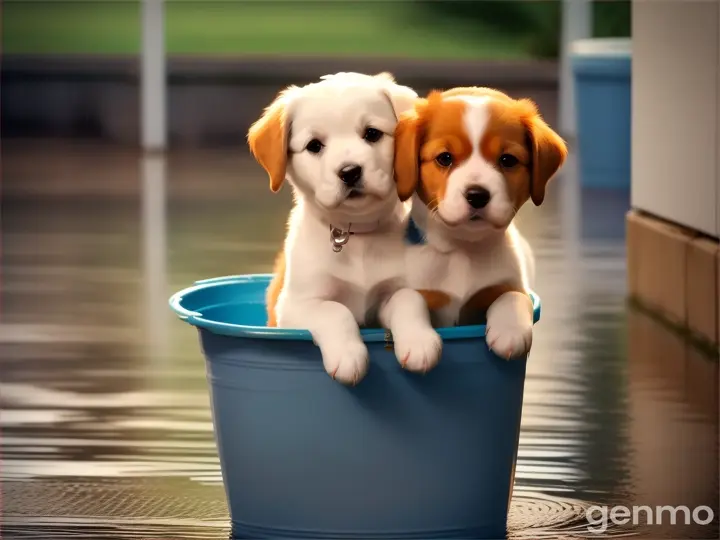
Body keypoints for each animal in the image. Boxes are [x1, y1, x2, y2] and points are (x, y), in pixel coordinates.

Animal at [248, 73, 442, 384]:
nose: (350, 172)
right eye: (314, 145)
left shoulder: (392, 291)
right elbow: (334, 310)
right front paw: (349, 356)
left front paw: (419, 342)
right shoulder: (294, 307)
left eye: (372, 133)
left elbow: (409, 298)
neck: (354, 234)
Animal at [394, 87, 568, 358]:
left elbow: (514, 296)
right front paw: (418, 343)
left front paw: (510, 330)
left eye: (508, 160)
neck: (463, 248)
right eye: (445, 158)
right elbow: (407, 298)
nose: (477, 195)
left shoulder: (510, 284)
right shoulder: (418, 290)